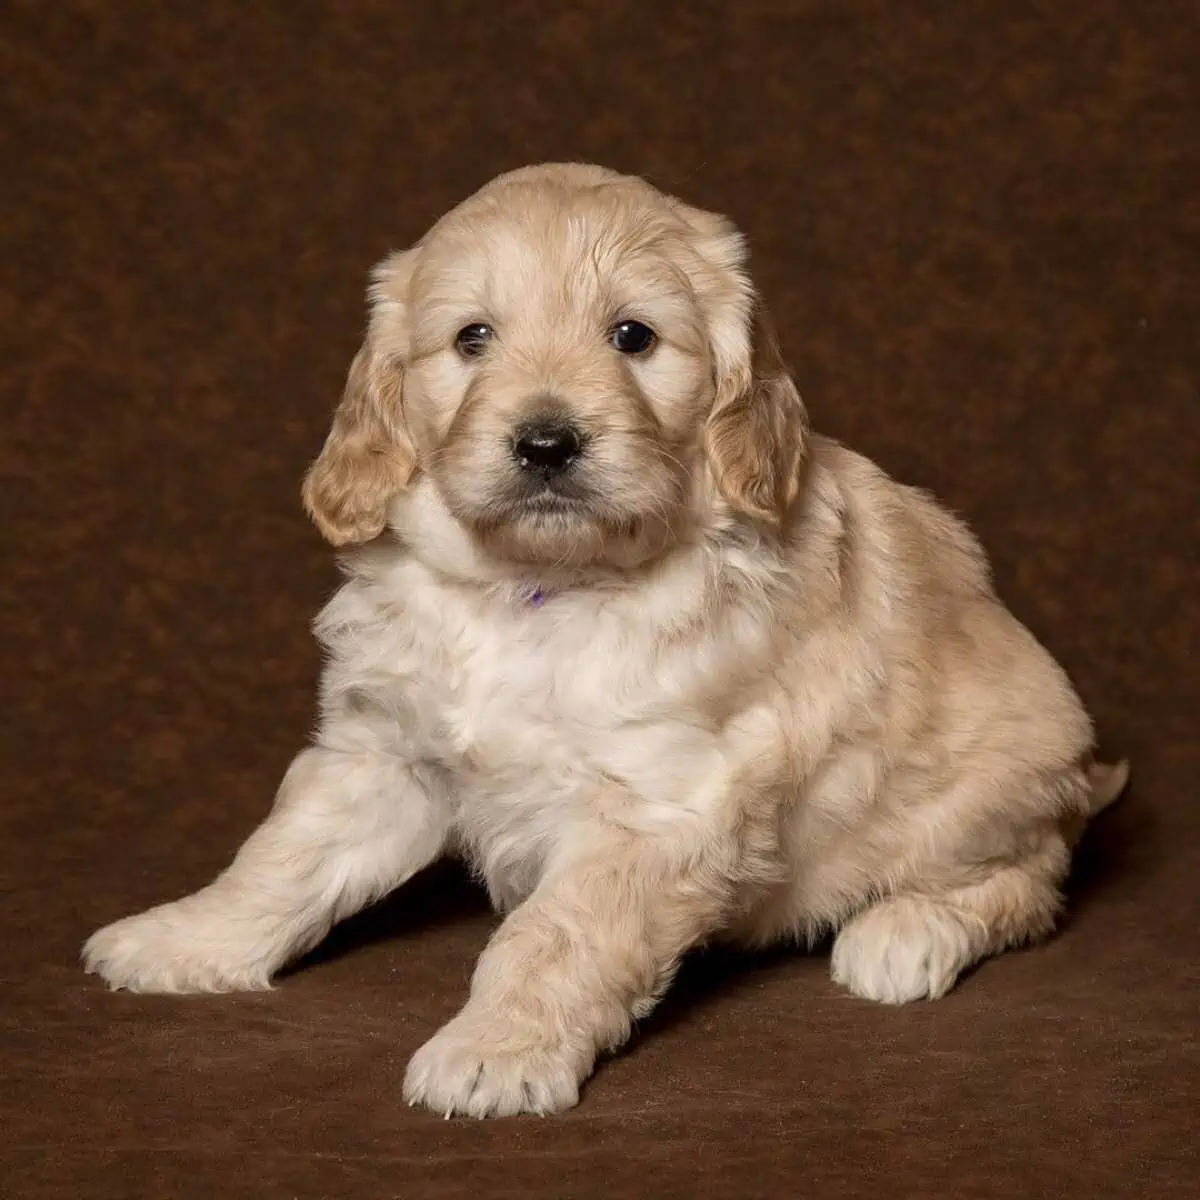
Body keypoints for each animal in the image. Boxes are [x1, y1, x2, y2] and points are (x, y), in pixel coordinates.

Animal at [82, 162, 1123, 1113]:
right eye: (473, 338)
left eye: (633, 336)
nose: (546, 444)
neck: (532, 593)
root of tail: (1084, 766)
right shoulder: (384, 755)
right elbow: (282, 857)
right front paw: (184, 938)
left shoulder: (660, 806)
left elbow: (553, 937)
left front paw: (495, 1051)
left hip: (983, 793)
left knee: (1029, 878)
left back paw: (905, 936)